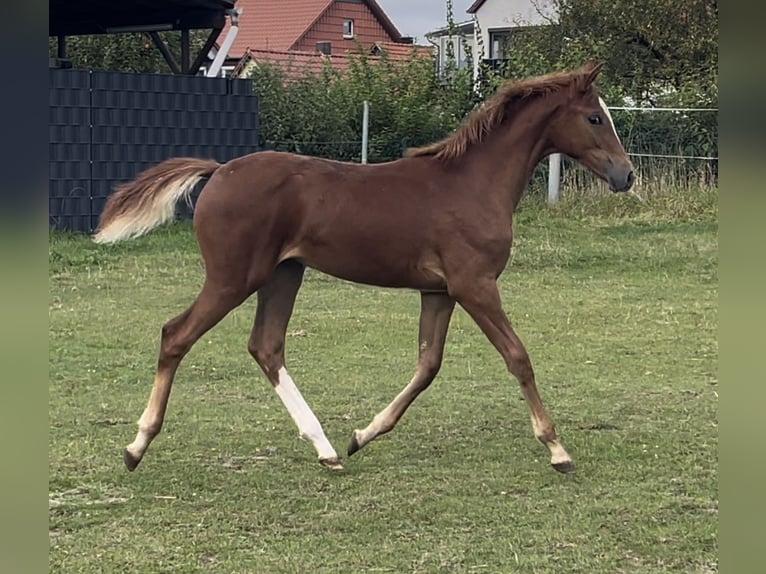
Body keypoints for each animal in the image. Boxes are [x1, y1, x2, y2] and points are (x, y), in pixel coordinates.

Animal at [96, 63, 636, 476]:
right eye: (594, 117)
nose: (626, 175)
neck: (472, 182)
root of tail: (219, 170)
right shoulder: (475, 286)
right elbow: (518, 356)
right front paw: (557, 449)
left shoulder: (440, 291)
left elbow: (427, 366)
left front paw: (362, 434)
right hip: (233, 278)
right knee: (176, 335)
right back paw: (136, 446)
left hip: (284, 274)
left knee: (266, 346)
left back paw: (328, 450)